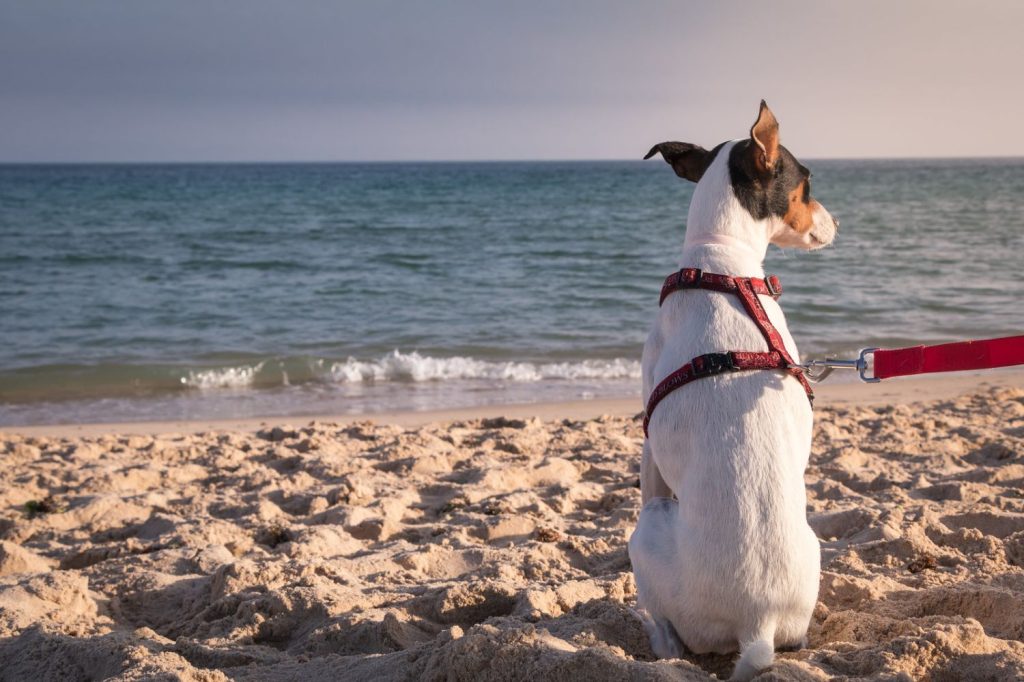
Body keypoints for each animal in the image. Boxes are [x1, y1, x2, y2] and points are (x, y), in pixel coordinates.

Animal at [626, 98, 835, 675]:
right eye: (808, 182)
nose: (837, 224)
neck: (720, 263)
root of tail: (756, 625)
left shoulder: (649, 438)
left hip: (645, 532)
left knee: (671, 640)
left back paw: (649, 631)